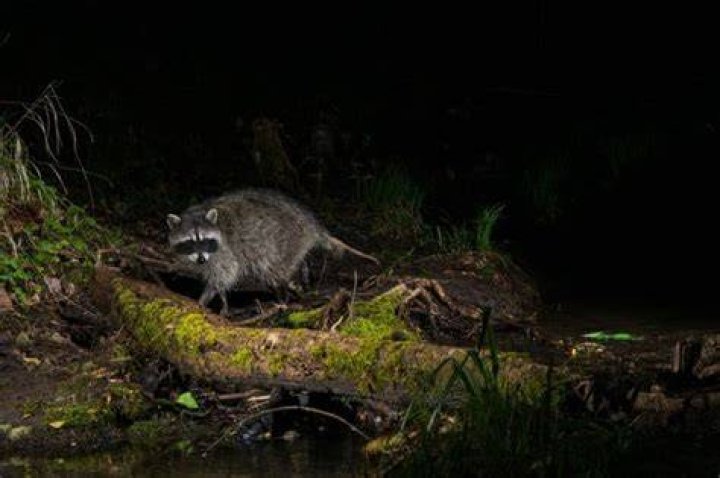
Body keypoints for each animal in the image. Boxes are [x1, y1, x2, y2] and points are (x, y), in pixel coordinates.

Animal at [166, 188, 379, 315]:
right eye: (190, 243)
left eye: (204, 241)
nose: (201, 259)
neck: (201, 212)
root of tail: (310, 223)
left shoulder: (225, 251)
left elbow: (225, 275)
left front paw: (209, 298)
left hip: (285, 241)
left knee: (276, 271)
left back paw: (285, 296)